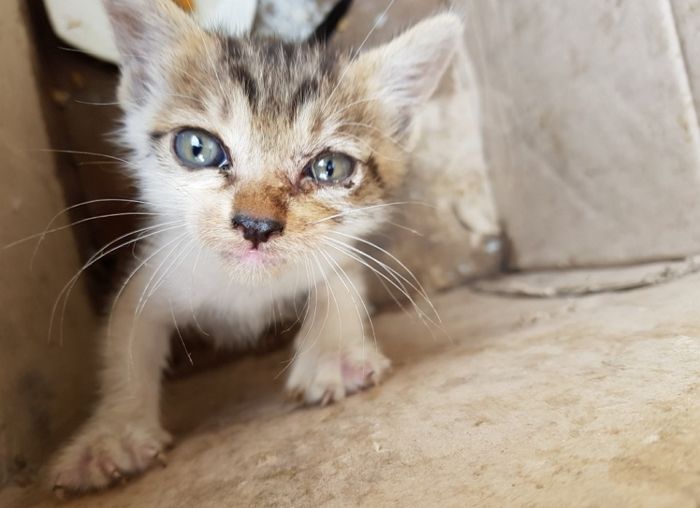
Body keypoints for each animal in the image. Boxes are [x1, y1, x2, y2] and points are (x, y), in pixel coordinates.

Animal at [50, 0, 464, 492]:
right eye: (197, 147)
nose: (256, 224)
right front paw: (112, 432)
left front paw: (333, 355)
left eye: (329, 167)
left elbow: (340, 283)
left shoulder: (337, 249)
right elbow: (126, 337)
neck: (245, 289)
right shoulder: (154, 268)